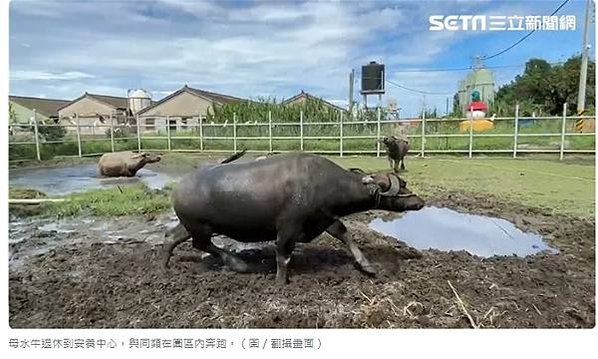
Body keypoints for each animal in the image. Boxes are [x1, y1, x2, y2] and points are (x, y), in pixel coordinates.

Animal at [163, 153, 426, 286]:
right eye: (403, 185)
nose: (420, 202)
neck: (324, 183)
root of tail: (179, 187)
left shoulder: (324, 218)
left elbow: (344, 234)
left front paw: (367, 266)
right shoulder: (288, 227)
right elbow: (283, 255)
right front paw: (280, 282)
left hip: (190, 225)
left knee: (170, 237)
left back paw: (164, 266)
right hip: (200, 227)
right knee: (202, 244)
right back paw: (239, 263)